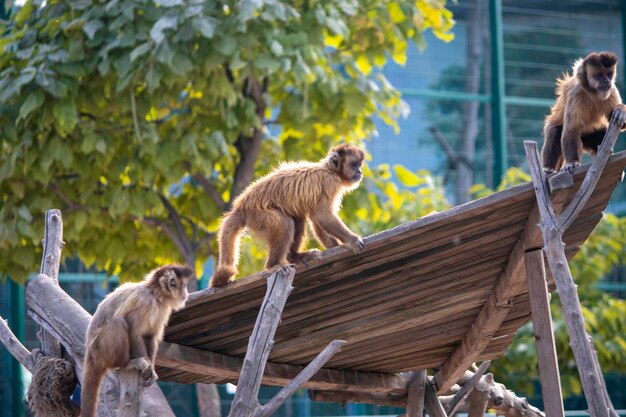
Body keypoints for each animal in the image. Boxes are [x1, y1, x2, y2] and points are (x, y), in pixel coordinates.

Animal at [80, 264, 193, 416]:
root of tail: (90, 352)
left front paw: (152, 370)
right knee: (119, 322)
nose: (186, 293)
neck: (156, 294)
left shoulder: (162, 309)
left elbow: (151, 336)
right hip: (101, 349)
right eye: (184, 286)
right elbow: (135, 334)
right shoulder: (145, 302)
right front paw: (148, 367)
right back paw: (126, 364)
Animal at [211, 143, 366, 286]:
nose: (360, 171)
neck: (330, 170)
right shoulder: (329, 184)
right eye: (354, 165)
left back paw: (294, 256)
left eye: (359, 165)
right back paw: (273, 265)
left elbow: (316, 220)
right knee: (285, 224)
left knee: (298, 220)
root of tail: (241, 207)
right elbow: (322, 216)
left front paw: (334, 247)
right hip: (258, 215)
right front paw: (352, 240)